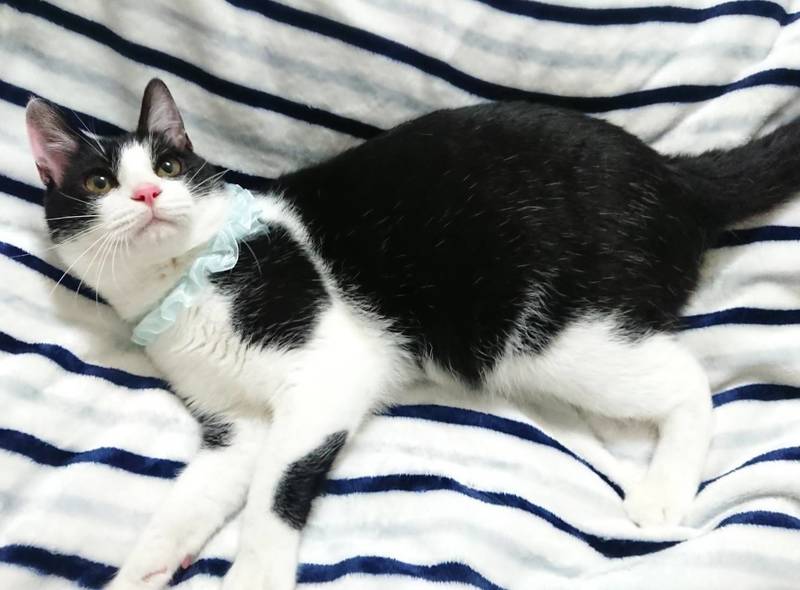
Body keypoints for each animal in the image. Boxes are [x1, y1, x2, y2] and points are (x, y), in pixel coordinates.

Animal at [25, 78, 800, 590]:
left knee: (687, 380)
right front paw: (142, 569)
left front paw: (255, 575)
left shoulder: (328, 374)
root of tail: (671, 173)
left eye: (168, 165)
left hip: (543, 333)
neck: (186, 285)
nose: (149, 194)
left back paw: (664, 490)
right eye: (97, 184)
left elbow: (275, 487)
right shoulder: (237, 427)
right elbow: (188, 503)